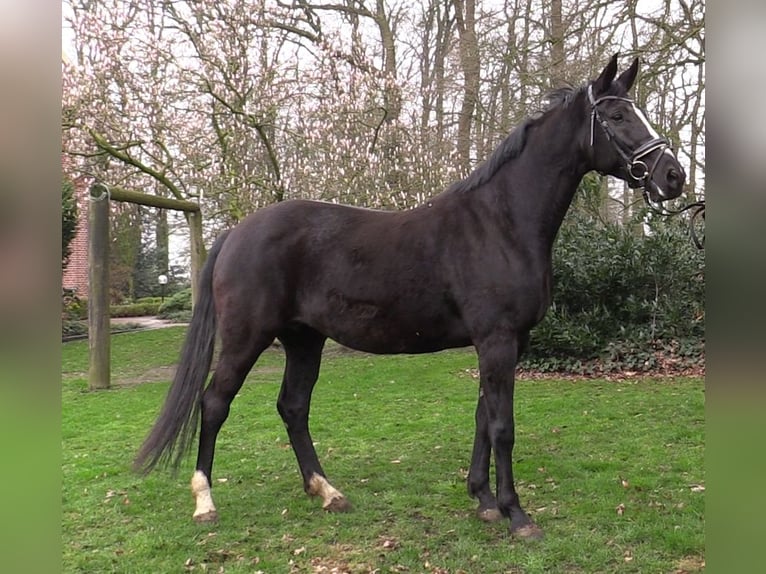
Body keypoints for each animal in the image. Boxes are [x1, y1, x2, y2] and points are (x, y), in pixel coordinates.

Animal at [135, 56, 688, 544]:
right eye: (616, 116)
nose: (673, 176)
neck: (501, 223)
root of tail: (236, 232)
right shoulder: (497, 340)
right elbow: (502, 425)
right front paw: (516, 514)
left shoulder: (507, 343)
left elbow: (482, 418)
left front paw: (483, 500)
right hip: (246, 337)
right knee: (215, 403)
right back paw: (205, 501)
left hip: (304, 340)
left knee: (293, 407)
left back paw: (327, 492)